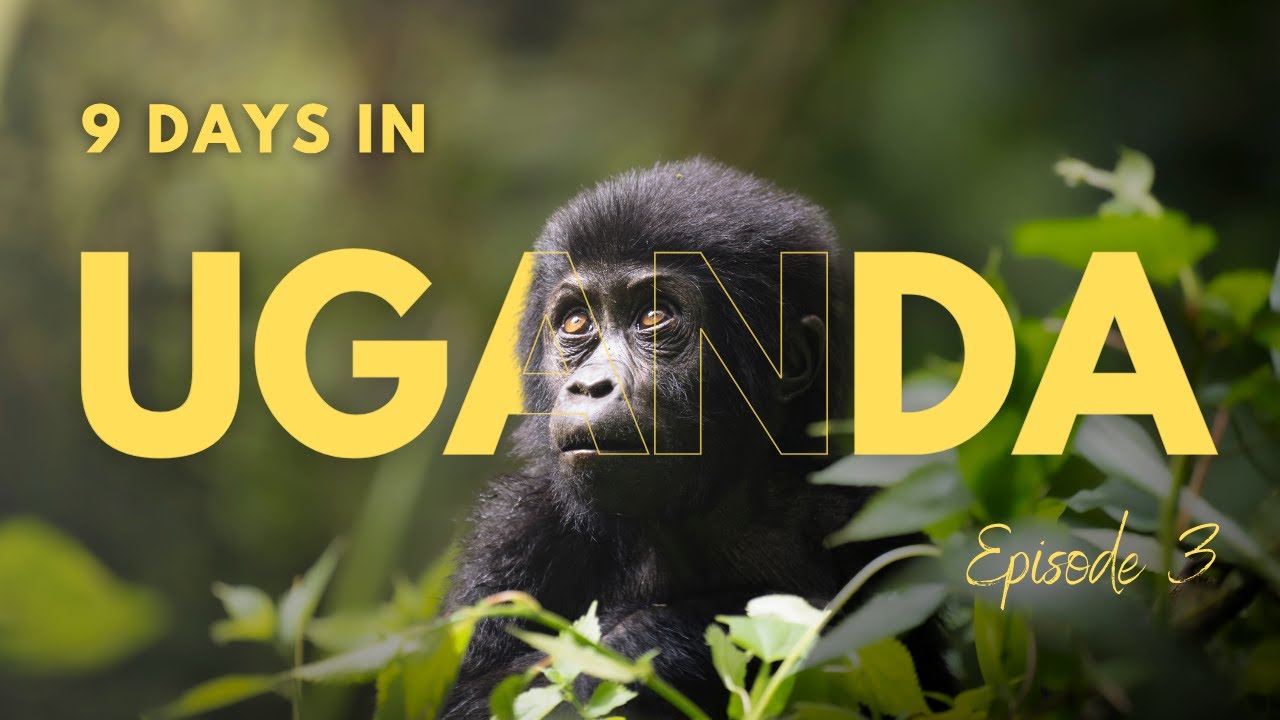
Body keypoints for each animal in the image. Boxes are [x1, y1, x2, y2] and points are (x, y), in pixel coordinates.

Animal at [441, 158, 942, 718]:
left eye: (654, 316)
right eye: (575, 322)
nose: (590, 385)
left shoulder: (868, 519)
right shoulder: (512, 543)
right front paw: (677, 638)